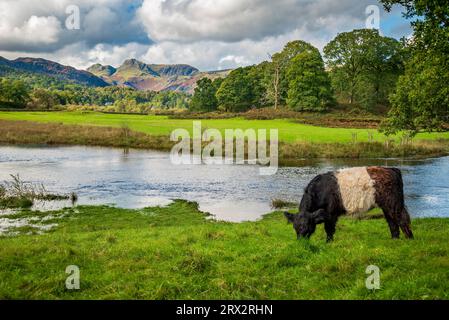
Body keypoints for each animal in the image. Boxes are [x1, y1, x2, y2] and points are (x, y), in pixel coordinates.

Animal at [284, 168, 412, 242]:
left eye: (307, 226)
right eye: (295, 228)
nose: (301, 243)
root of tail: (392, 169)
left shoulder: (331, 213)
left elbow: (329, 229)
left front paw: (328, 243)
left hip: (394, 203)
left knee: (402, 219)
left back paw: (409, 240)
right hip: (386, 206)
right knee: (391, 221)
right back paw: (394, 239)